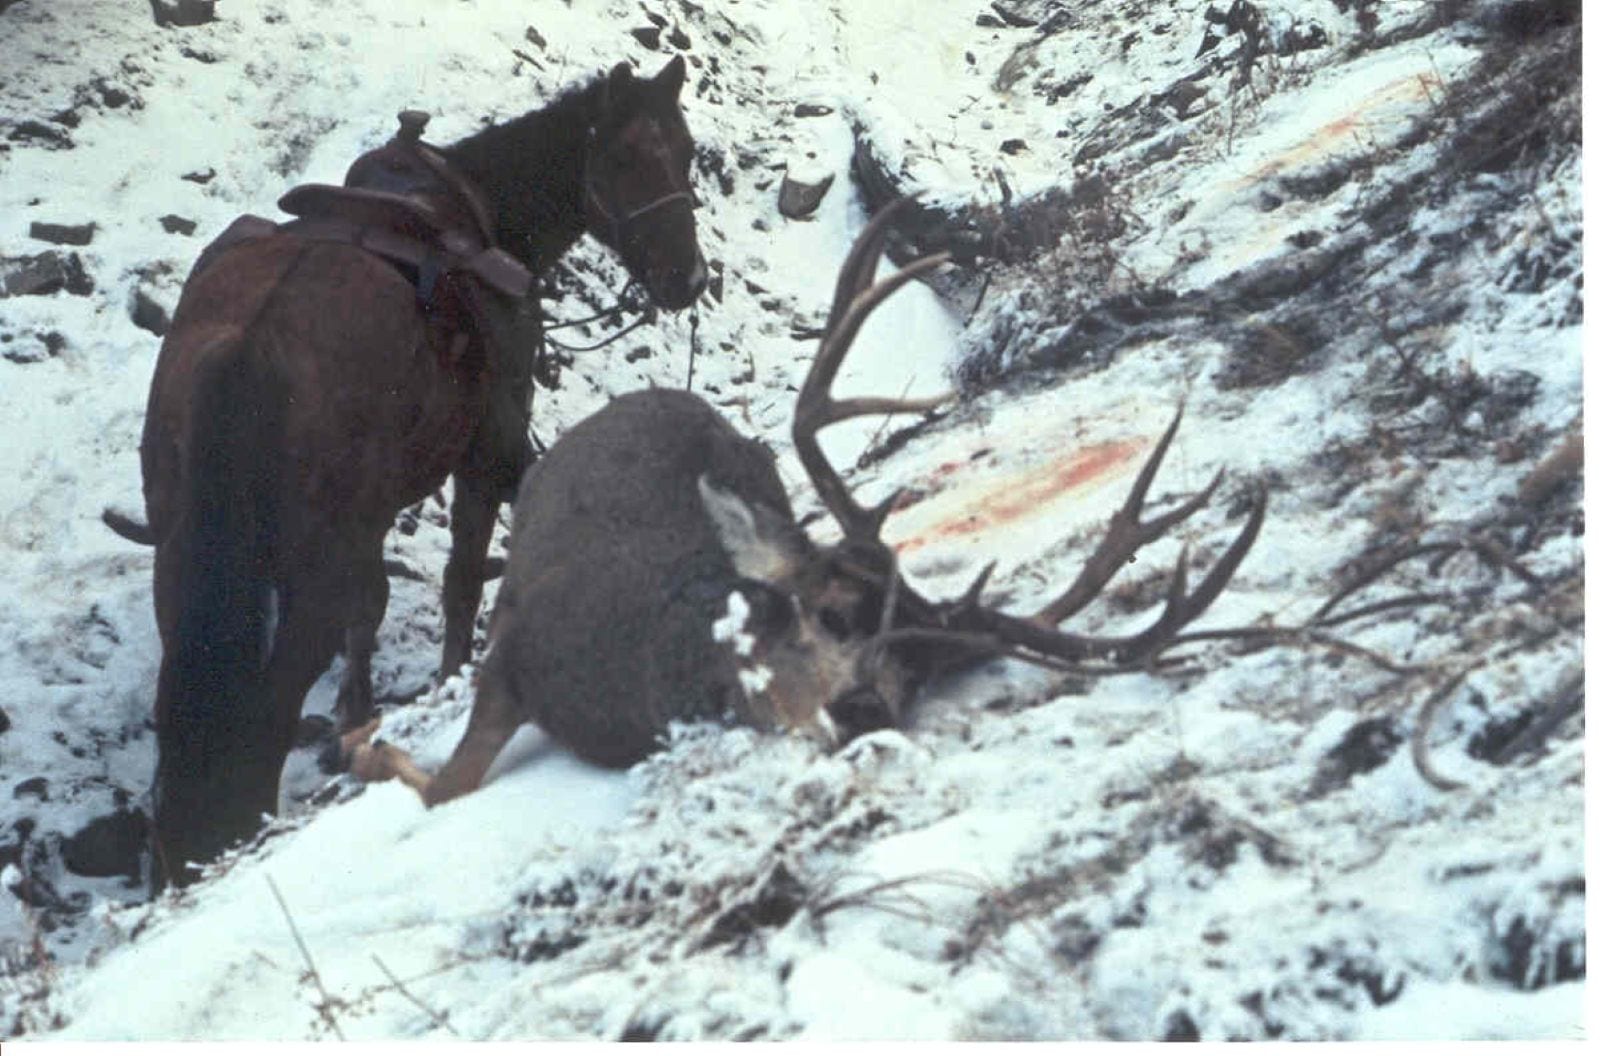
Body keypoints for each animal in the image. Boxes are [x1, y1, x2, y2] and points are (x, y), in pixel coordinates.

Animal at [348, 201, 1267, 804]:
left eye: (921, 670)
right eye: (829, 613)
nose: (862, 708)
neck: (638, 672)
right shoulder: (512, 649)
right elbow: (440, 784)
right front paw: (365, 744)